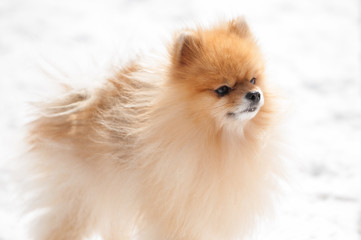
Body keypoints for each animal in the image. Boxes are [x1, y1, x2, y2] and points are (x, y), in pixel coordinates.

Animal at [26, 17, 284, 239]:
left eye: (253, 79)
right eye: (222, 89)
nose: (254, 95)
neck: (219, 139)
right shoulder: (176, 211)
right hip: (81, 200)